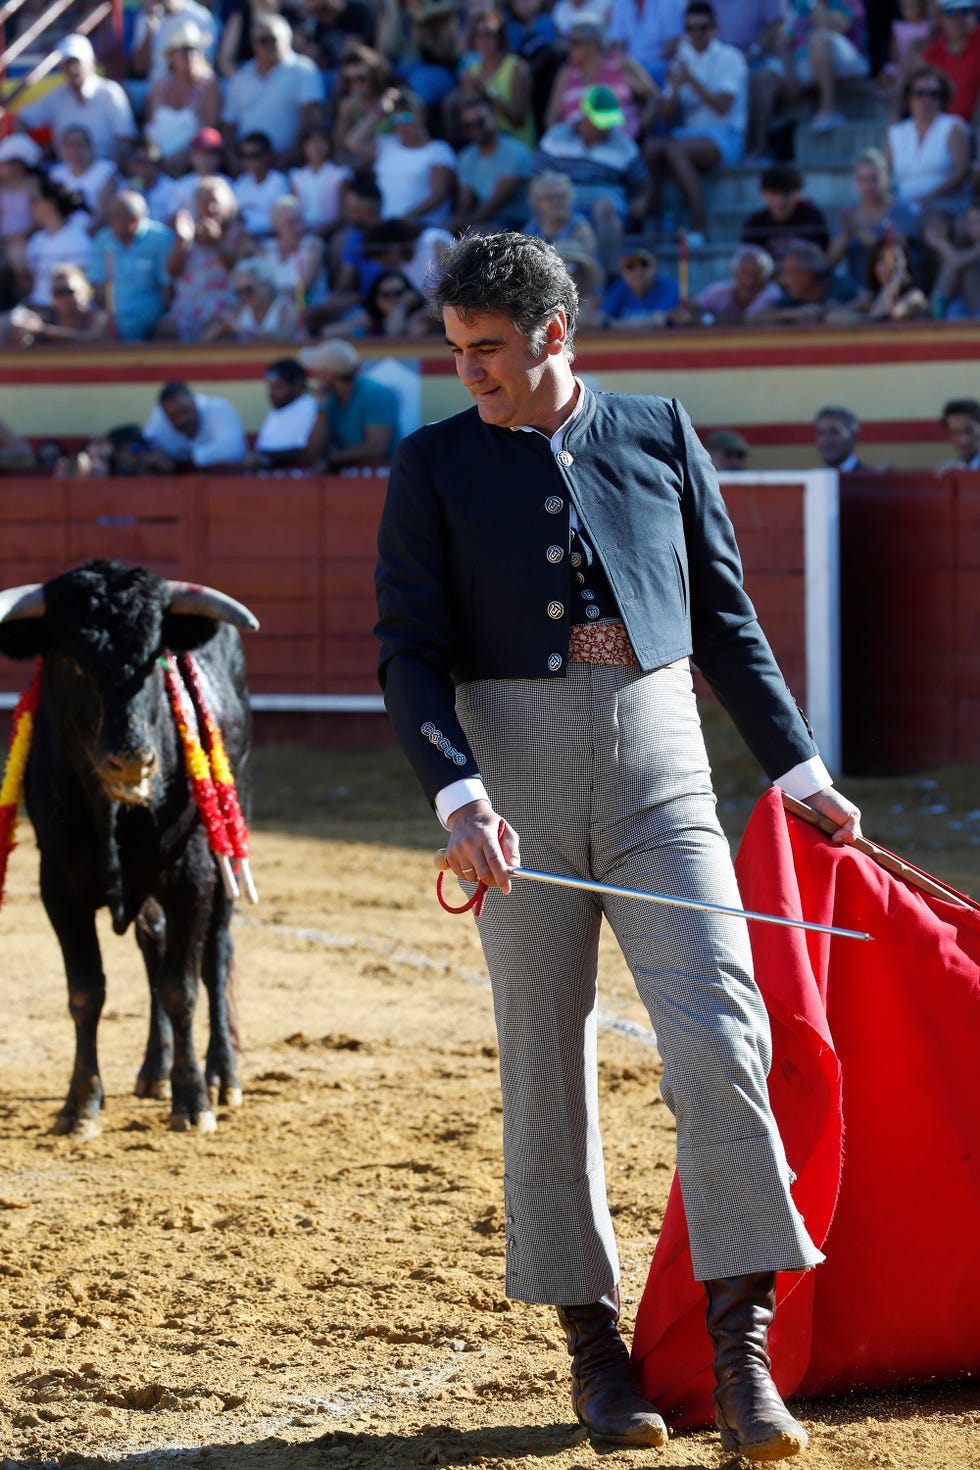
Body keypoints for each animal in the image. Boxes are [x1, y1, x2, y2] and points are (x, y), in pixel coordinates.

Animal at [0, 555, 258, 1140]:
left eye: (154, 656)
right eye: (71, 660)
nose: (132, 761)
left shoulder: (192, 876)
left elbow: (182, 988)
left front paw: (192, 1103)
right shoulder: (59, 888)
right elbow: (85, 992)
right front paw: (79, 1106)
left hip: (224, 849)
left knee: (217, 954)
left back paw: (222, 1076)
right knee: (152, 946)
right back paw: (152, 1072)